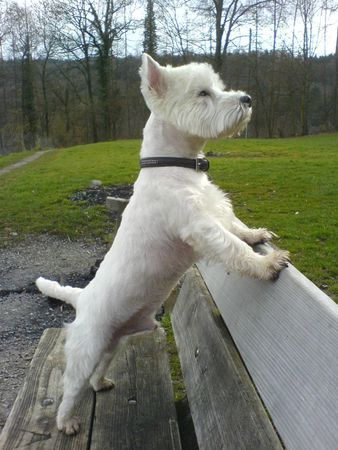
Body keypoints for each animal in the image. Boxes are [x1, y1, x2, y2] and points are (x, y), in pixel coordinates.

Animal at [37, 54, 290, 434]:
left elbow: (236, 228)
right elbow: (232, 246)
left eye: (218, 86)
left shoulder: (214, 210)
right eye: (203, 93)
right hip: (87, 347)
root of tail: (82, 298)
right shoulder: (199, 226)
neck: (176, 164)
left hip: (112, 343)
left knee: (98, 370)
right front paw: (267, 264)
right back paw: (67, 423)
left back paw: (102, 383)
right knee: (71, 387)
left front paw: (257, 234)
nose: (246, 99)